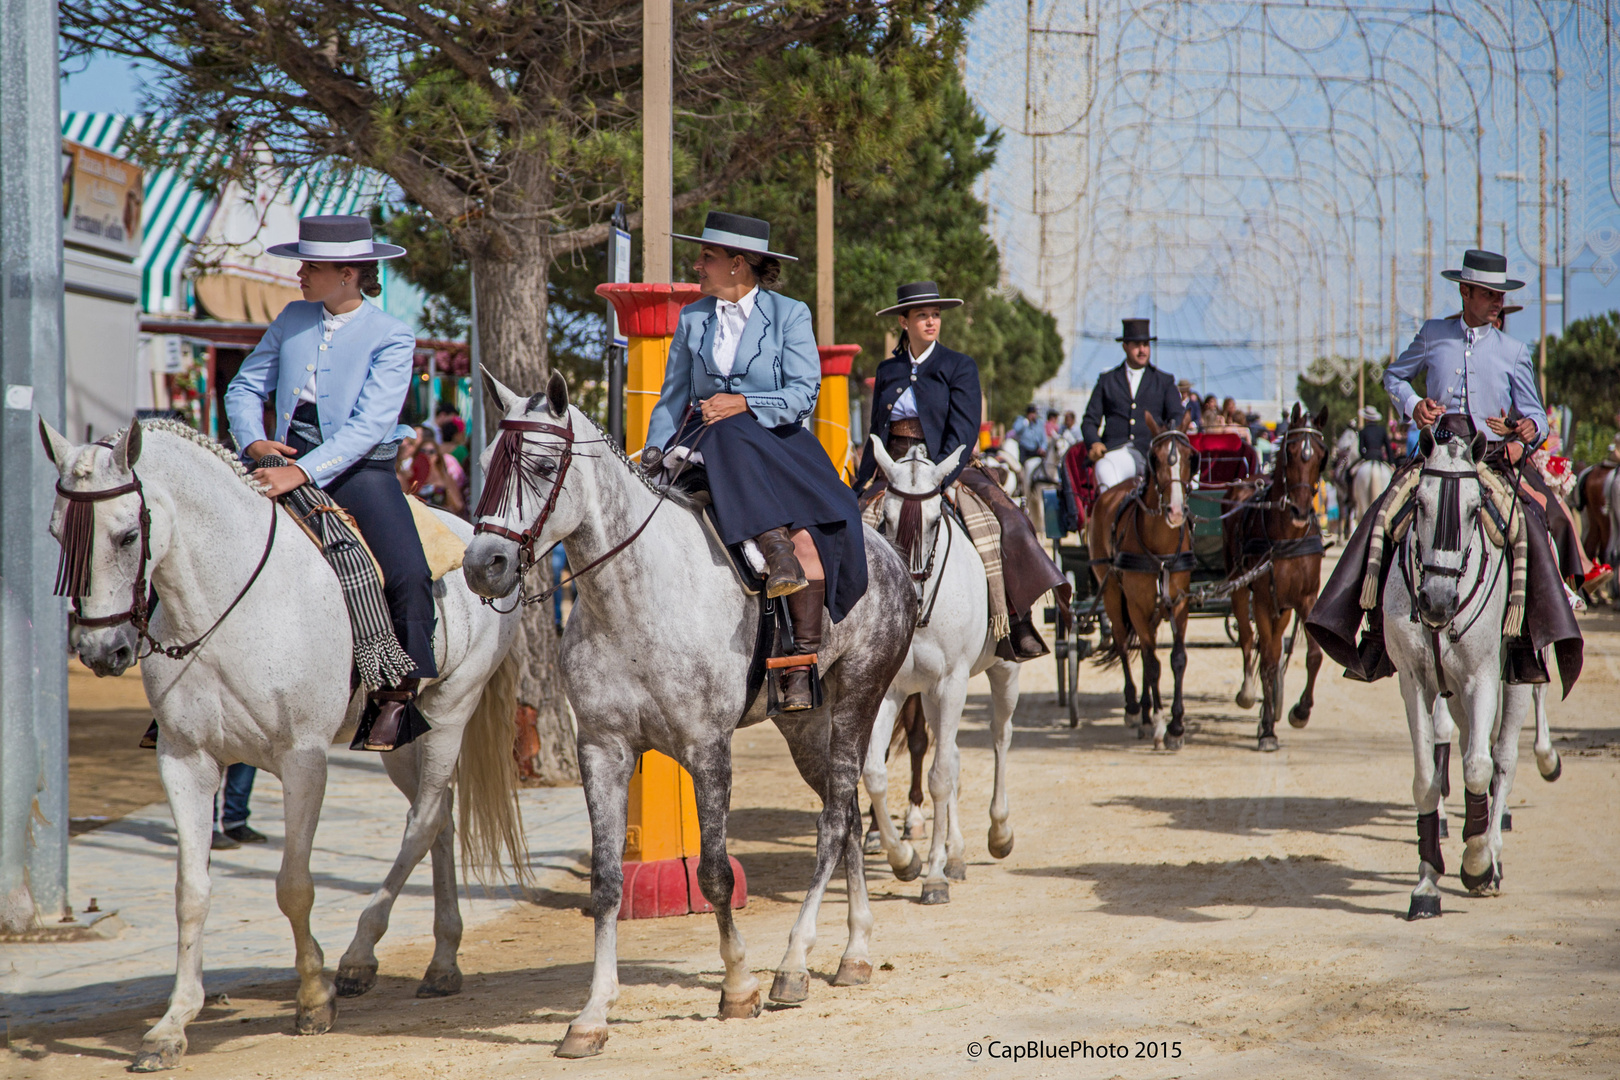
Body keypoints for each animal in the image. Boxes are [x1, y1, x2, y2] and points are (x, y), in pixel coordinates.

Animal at [39, 417, 518, 1068]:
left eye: (128, 535)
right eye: (56, 533)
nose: (98, 651)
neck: (222, 607)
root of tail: (480, 540)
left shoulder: (303, 760)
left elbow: (294, 885)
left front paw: (314, 998)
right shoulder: (184, 761)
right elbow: (190, 892)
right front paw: (171, 1025)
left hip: (448, 715)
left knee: (422, 825)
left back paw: (359, 958)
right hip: (399, 740)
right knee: (437, 820)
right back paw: (441, 963)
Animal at [463, 372, 920, 1055]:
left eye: (542, 466)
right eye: (489, 461)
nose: (481, 565)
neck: (631, 597)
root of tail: (886, 552)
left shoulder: (708, 748)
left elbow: (714, 873)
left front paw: (738, 987)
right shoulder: (602, 749)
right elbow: (605, 882)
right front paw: (592, 1014)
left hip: (859, 699)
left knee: (836, 818)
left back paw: (794, 964)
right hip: (803, 722)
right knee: (846, 816)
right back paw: (854, 951)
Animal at [868, 440, 1017, 906]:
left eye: (935, 519)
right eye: (886, 518)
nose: (910, 591)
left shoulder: (952, 683)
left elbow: (937, 778)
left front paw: (933, 877)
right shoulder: (891, 689)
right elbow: (876, 773)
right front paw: (905, 860)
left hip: (1001, 672)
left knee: (999, 736)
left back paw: (998, 833)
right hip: (931, 697)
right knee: (949, 754)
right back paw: (956, 854)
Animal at [1095, 414, 1198, 751]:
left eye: (1191, 458)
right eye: (1156, 458)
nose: (1176, 511)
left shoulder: (1179, 602)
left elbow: (1176, 660)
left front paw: (1176, 727)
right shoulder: (1137, 605)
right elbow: (1152, 665)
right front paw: (1160, 723)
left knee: (1142, 648)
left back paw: (1145, 713)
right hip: (1113, 595)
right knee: (1123, 643)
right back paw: (1134, 710)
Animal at [1224, 403, 1328, 751]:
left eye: (1321, 454)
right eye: (1290, 451)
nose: (1300, 511)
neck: (1287, 536)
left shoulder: (1305, 599)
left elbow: (1313, 655)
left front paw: (1300, 711)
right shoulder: (1263, 599)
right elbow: (1268, 659)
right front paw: (1267, 729)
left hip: (1282, 606)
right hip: (1241, 590)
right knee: (1247, 640)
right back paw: (1248, 694)